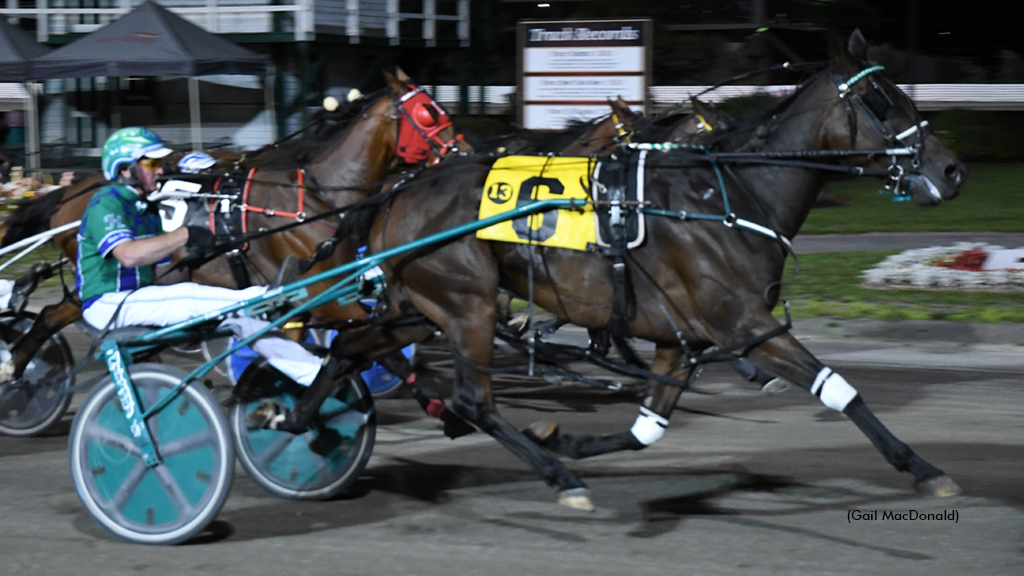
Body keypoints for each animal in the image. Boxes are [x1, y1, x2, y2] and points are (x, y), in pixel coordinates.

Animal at [286, 31, 966, 506]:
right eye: (880, 100)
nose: (953, 169)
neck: (729, 195)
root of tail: (398, 191)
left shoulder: (681, 337)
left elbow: (647, 428)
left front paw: (568, 438)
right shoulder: (745, 324)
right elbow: (841, 390)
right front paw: (924, 468)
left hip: (418, 308)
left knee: (346, 346)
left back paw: (295, 417)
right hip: (467, 305)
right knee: (473, 399)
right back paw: (558, 478)